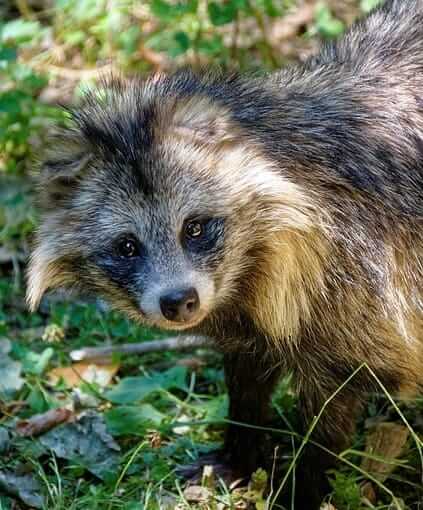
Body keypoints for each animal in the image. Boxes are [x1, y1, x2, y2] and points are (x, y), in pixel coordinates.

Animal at [26, 0, 423, 506]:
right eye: (127, 246)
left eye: (194, 228)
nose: (179, 302)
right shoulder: (246, 309)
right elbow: (247, 368)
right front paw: (240, 448)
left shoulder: (360, 280)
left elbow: (334, 404)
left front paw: (305, 481)